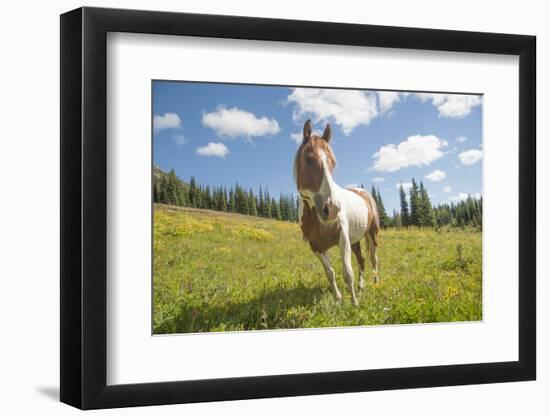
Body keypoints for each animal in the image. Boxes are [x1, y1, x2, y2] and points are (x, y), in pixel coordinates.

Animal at [296, 118, 382, 304]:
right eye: (308, 159)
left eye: (333, 163)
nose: (332, 209)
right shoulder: (316, 247)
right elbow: (330, 273)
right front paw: (338, 299)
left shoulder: (343, 239)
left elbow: (347, 273)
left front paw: (354, 304)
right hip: (355, 239)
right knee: (362, 260)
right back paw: (361, 287)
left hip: (372, 234)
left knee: (373, 258)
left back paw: (376, 283)